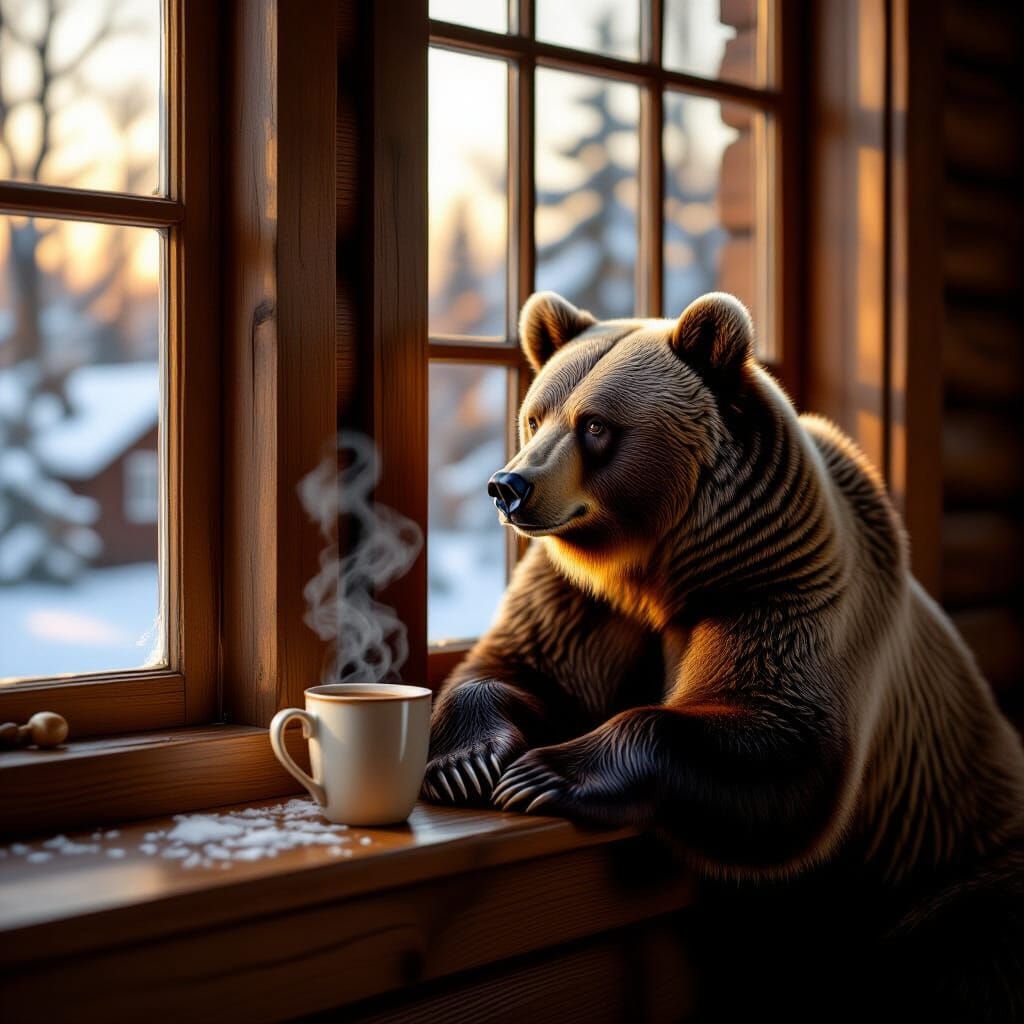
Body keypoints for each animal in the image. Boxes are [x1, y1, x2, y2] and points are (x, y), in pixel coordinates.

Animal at [422, 290, 1024, 1021]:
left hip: (952, 864)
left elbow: (781, 733)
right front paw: (468, 761)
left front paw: (546, 774)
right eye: (536, 415)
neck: (662, 572)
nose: (509, 485)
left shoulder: (775, 588)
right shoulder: (585, 603)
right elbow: (519, 666)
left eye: (595, 426)